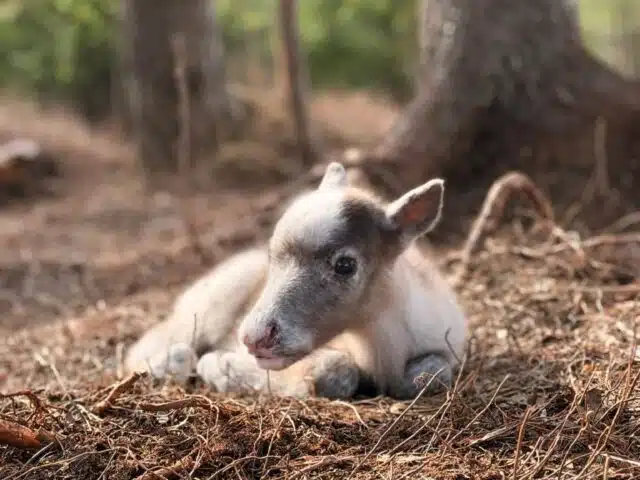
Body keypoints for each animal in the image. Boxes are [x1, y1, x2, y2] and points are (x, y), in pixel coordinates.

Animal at [124, 162, 468, 400]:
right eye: (272, 254)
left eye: (345, 265)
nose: (253, 337)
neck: (379, 349)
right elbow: (335, 371)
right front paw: (220, 367)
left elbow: (432, 375)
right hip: (207, 308)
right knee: (144, 346)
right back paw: (172, 363)